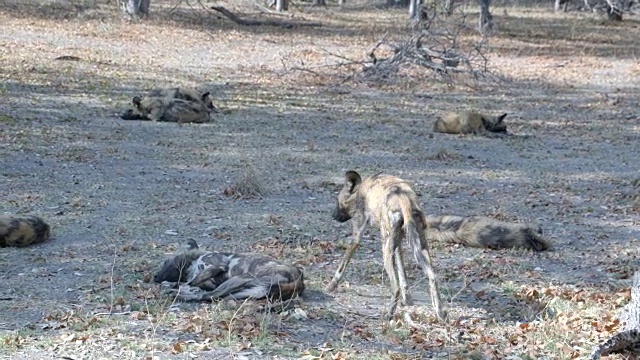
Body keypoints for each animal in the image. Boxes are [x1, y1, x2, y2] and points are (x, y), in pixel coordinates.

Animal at [154, 240, 304, 302]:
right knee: (212, 296)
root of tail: (300, 281)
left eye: (165, 262)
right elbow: (190, 283)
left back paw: (177, 295)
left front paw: (179, 287)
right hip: (245, 290)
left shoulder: (217, 265)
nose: (155, 277)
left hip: (239, 279)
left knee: (210, 296)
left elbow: (188, 283)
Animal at [330, 172, 444, 320]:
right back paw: (441, 314)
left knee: (395, 287)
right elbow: (403, 273)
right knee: (432, 277)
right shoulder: (398, 243)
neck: (361, 190)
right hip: (420, 247)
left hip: (385, 250)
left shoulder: (357, 234)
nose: (333, 215)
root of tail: (403, 197)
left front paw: (331, 286)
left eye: (337, 201)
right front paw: (407, 300)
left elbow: (342, 264)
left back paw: (388, 314)